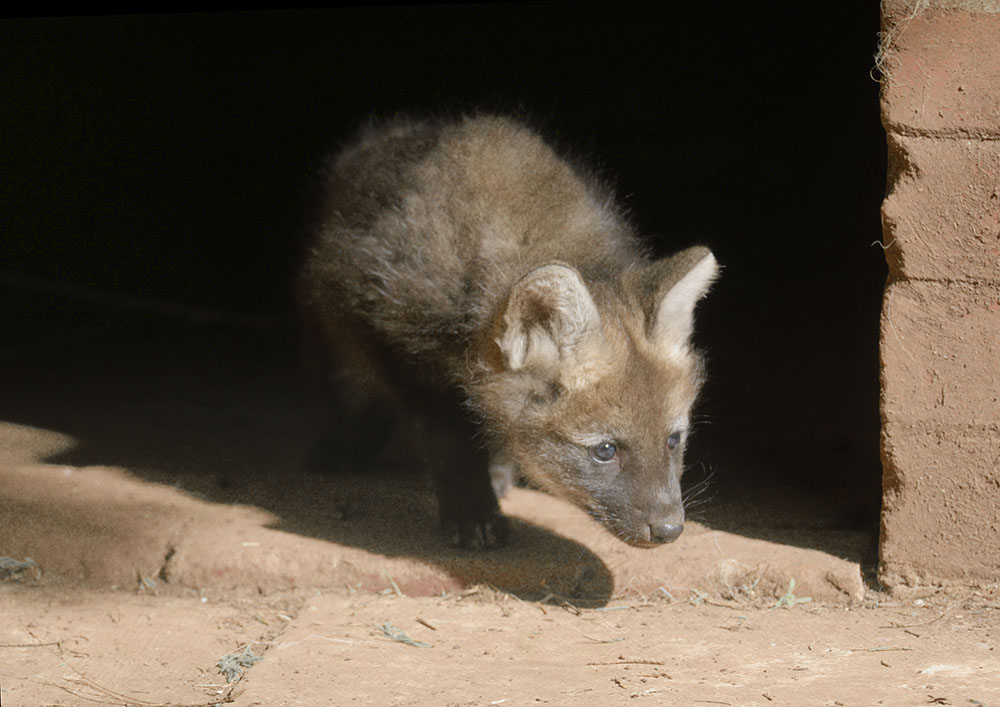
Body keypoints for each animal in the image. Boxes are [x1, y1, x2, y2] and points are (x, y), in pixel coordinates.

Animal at [300, 114, 717, 549]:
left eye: (673, 439)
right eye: (605, 449)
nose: (671, 530)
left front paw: (495, 478)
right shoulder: (389, 333)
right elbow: (447, 433)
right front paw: (472, 512)